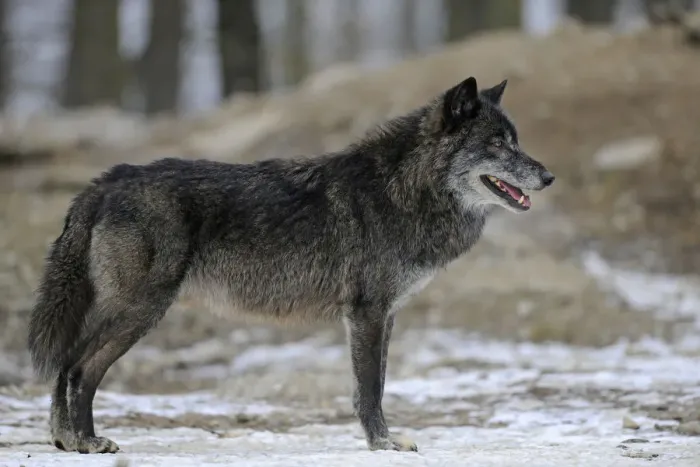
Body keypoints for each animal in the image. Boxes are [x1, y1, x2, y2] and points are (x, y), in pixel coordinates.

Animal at [28, 76, 554, 454]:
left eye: (515, 140)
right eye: (498, 145)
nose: (549, 176)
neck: (403, 190)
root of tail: (108, 179)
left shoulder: (384, 316)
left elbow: (378, 383)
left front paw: (384, 439)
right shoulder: (366, 314)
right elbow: (370, 388)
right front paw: (382, 444)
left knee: (67, 364)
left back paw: (64, 440)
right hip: (141, 311)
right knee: (80, 368)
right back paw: (87, 442)